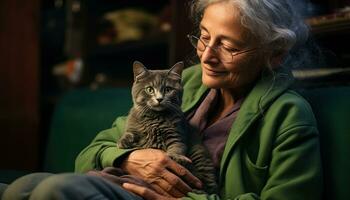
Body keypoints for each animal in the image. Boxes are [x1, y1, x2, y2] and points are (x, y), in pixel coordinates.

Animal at [117, 61, 219, 194]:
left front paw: (176, 157)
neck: (155, 118)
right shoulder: (133, 125)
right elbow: (129, 133)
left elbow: (177, 147)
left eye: (168, 89)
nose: (159, 99)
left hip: (199, 152)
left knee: (208, 185)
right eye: (149, 89)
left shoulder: (176, 135)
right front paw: (123, 141)